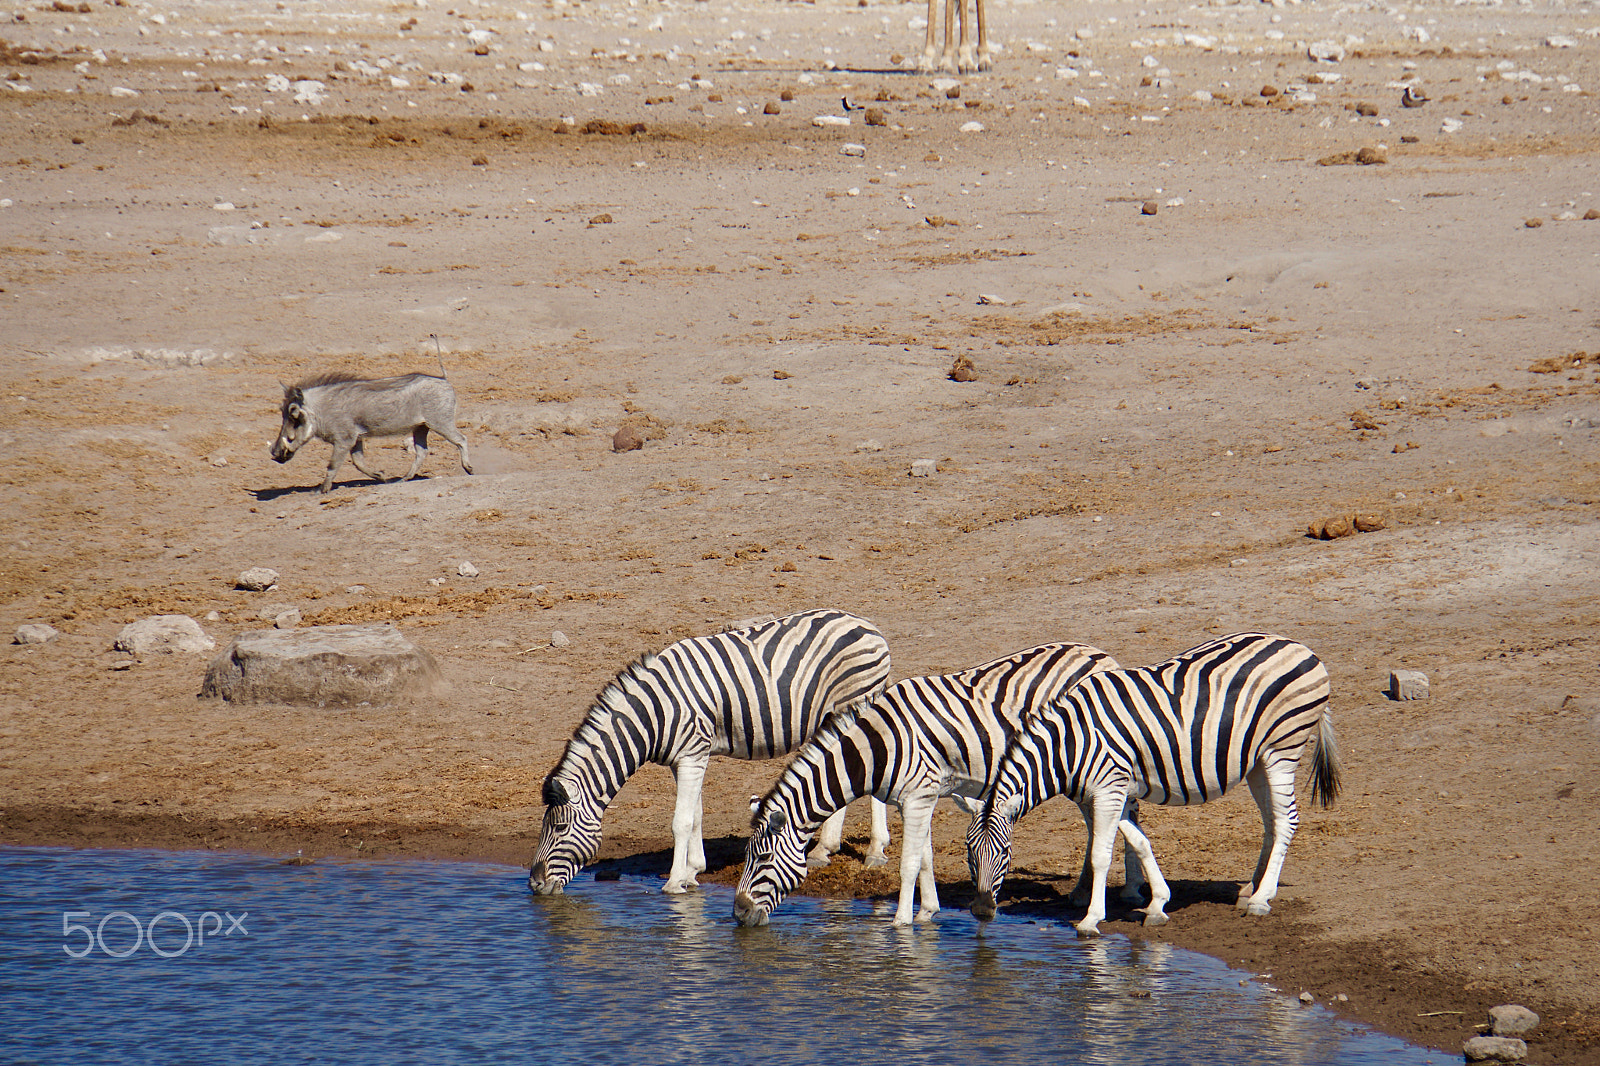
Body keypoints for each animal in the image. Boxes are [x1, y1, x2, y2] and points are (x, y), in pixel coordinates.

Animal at [531, 601, 896, 889]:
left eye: (559, 827)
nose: (534, 884)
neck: (655, 713)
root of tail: (869, 627)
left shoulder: (693, 753)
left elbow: (680, 820)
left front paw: (674, 882)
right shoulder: (686, 758)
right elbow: (696, 814)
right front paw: (693, 871)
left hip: (858, 700)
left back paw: (875, 851)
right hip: (835, 714)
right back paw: (824, 849)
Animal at [736, 640, 1152, 921]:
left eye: (762, 858)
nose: (738, 914)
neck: (881, 744)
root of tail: (1100, 654)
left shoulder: (919, 797)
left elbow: (908, 863)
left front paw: (902, 923)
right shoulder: (920, 797)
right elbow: (924, 857)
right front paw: (928, 913)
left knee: (1118, 815)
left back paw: (1129, 891)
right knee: (1103, 821)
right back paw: (1090, 891)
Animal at [966, 630, 1344, 928]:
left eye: (1005, 852)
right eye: (969, 852)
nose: (982, 912)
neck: (1069, 744)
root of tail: (1300, 647)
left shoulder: (1109, 789)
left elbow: (1101, 853)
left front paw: (1091, 919)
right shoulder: (1115, 789)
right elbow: (1139, 841)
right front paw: (1158, 903)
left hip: (1284, 748)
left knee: (1286, 820)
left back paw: (1262, 899)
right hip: (1257, 761)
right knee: (1271, 820)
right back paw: (1252, 888)